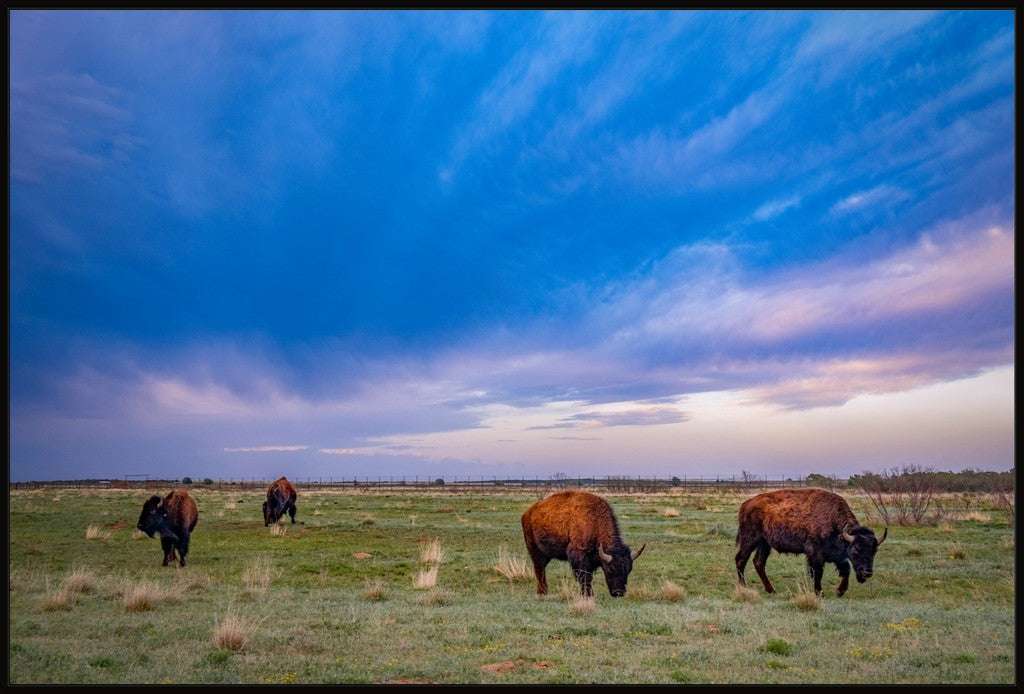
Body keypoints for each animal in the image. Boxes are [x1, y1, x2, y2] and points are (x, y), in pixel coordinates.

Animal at [733, 489, 884, 597]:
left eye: (874, 551)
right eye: (856, 550)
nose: (867, 572)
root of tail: (746, 503)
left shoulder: (836, 555)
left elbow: (846, 569)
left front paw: (840, 591)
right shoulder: (815, 553)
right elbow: (818, 572)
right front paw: (820, 593)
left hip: (765, 544)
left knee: (758, 562)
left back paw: (771, 590)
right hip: (750, 540)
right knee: (741, 559)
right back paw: (743, 586)